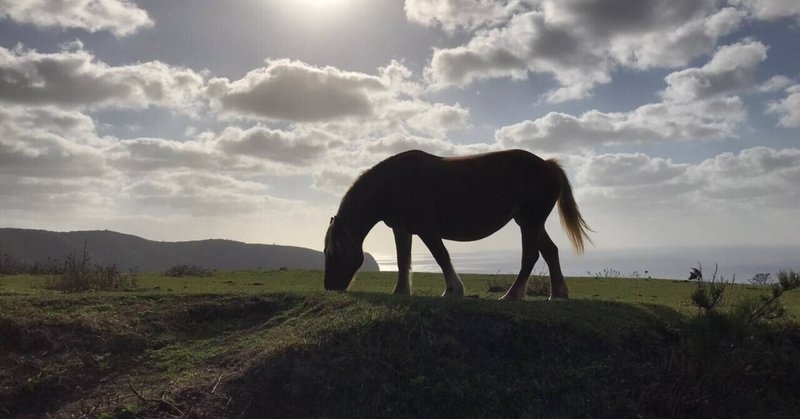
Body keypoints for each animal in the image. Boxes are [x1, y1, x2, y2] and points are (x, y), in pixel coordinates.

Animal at [322, 149, 592, 300]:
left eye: (333, 252)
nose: (329, 288)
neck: (391, 184)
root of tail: (548, 165)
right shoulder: (402, 229)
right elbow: (402, 261)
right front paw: (400, 292)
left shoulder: (427, 229)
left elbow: (441, 256)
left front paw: (453, 290)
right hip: (530, 222)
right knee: (550, 251)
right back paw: (557, 294)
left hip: (530, 222)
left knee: (531, 256)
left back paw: (512, 295)